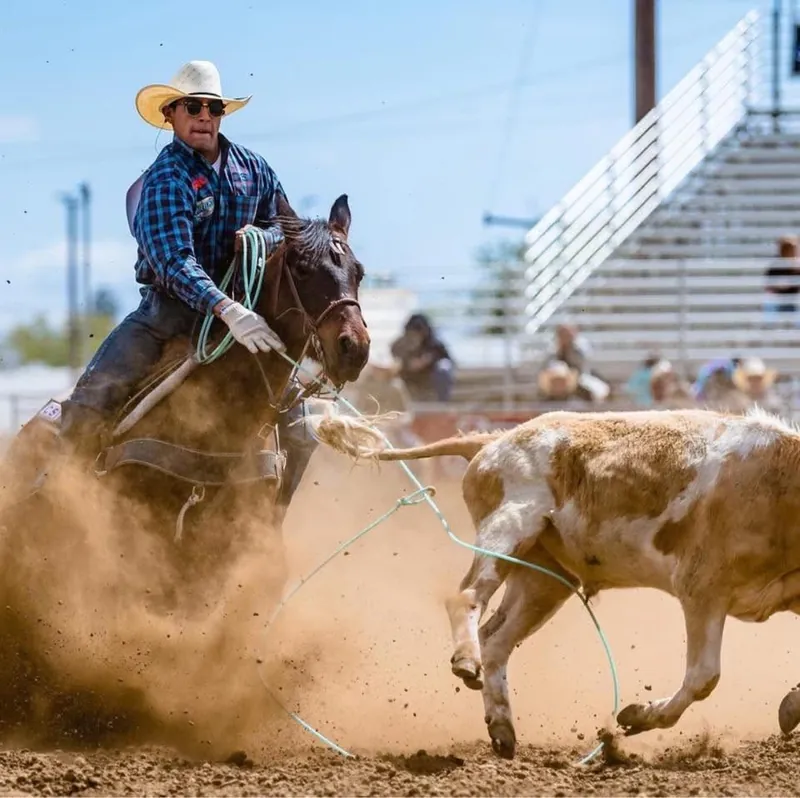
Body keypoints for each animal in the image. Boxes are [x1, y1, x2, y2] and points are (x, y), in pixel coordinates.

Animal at [310, 406, 800, 759]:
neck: (776, 484)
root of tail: (492, 440)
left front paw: (790, 706)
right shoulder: (700, 587)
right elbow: (704, 677)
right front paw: (637, 716)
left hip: (545, 578)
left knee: (497, 639)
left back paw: (502, 727)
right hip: (508, 528)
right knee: (466, 597)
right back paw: (465, 661)